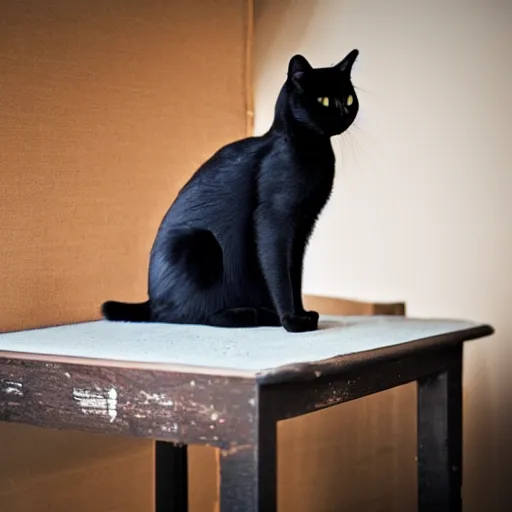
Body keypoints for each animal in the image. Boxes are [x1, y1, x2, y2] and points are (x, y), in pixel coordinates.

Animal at [102, 50, 360, 334]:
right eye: (323, 100)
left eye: (349, 98)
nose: (343, 111)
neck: (314, 150)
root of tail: (148, 301)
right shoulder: (274, 221)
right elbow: (280, 274)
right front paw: (292, 320)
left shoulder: (302, 228)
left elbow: (295, 274)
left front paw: (301, 313)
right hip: (201, 243)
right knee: (181, 314)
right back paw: (248, 315)